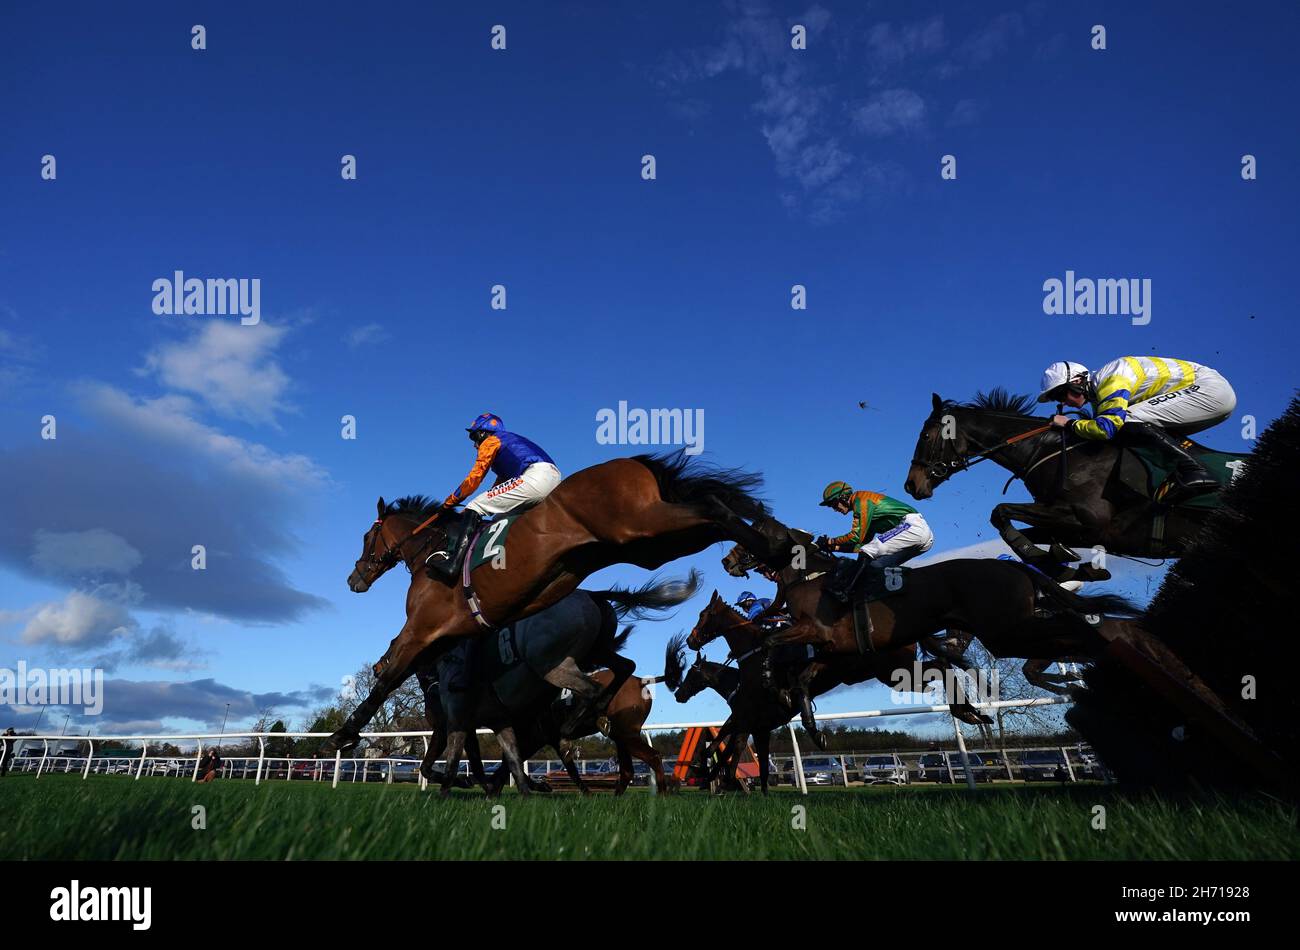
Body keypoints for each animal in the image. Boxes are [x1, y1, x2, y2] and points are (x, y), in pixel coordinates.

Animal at [325, 452, 769, 758]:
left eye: (366, 538)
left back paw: (772, 547)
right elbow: (398, 671)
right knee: (714, 513)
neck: (432, 552)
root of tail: (630, 462)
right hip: (651, 545)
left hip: (643, 525)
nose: (354, 579)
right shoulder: (453, 633)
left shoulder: (422, 628)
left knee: (712, 507)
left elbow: (389, 676)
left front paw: (344, 733)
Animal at [899, 387, 1232, 579]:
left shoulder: (1088, 518)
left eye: (925, 435)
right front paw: (1059, 559)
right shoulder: (1078, 528)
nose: (911, 485)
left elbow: (1000, 511)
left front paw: (1046, 560)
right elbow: (1025, 531)